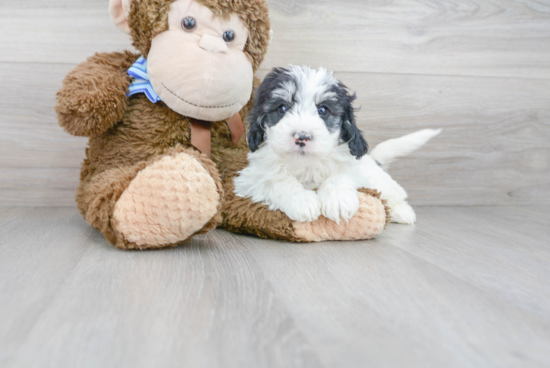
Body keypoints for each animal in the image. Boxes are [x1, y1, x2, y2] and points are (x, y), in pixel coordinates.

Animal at [235, 66, 442, 224]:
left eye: (323, 110)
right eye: (282, 108)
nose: (302, 137)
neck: (306, 164)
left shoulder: (356, 168)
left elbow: (340, 175)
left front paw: (338, 200)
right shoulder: (250, 178)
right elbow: (277, 179)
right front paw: (301, 200)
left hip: (380, 180)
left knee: (393, 194)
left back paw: (402, 212)